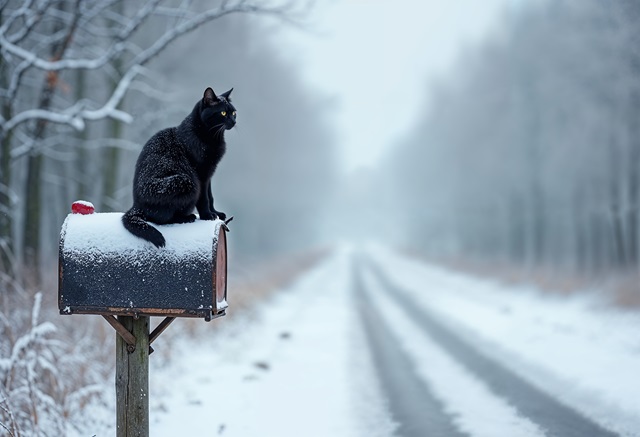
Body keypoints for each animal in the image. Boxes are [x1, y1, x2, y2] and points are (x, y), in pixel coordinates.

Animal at [121, 87, 236, 247]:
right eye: (223, 113)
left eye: (234, 112)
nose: (234, 121)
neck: (209, 136)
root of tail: (135, 206)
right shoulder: (201, 174)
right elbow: (204, 198)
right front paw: (207, 216)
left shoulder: (209, 173)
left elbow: (210, 196)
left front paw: (216, 213)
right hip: (186, 181)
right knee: (160, 219)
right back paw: (186, 218)